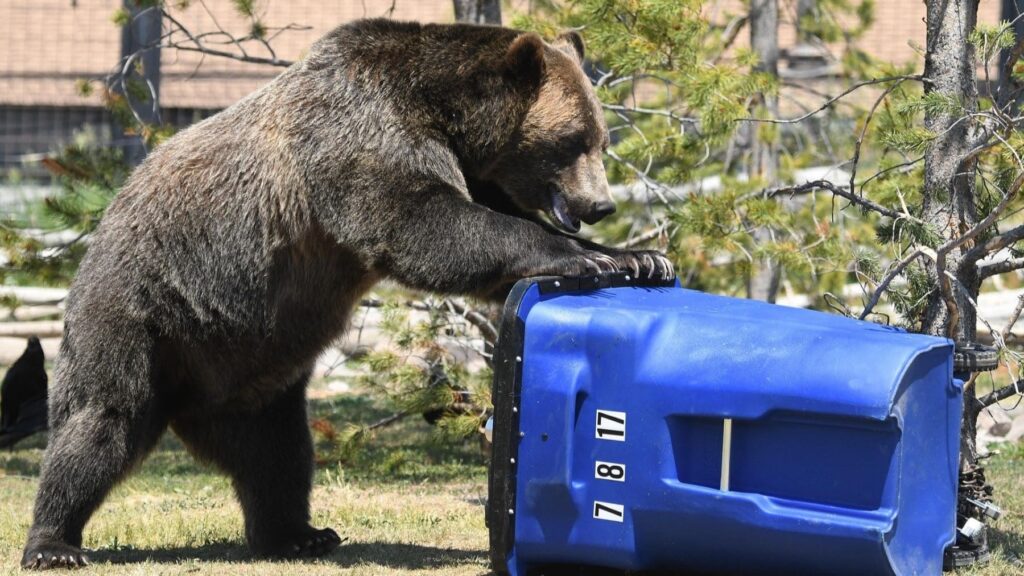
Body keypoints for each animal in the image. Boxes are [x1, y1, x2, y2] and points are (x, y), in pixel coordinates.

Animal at [21, 19, 674, 569]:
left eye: (602, 139)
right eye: (575, 139)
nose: (601, 205)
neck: (445, 114)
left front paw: (639, 256)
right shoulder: (360, 136)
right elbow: (426, 225)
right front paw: (585, 256)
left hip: (251, 368)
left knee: (278, 453)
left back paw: (297, 534)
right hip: (142, 313)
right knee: (101, 421)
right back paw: (54, 542)